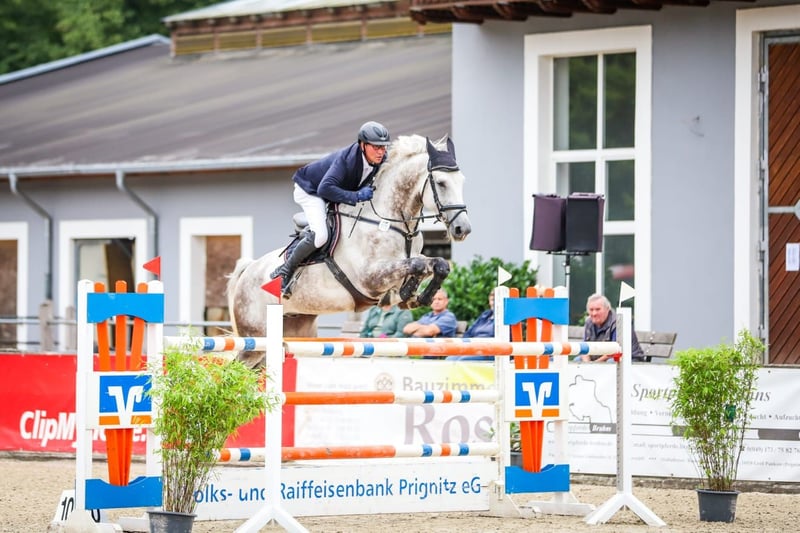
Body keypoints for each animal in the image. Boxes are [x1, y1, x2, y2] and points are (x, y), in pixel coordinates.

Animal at [226, 134, 471, 367]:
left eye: (462, 181)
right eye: (441, 183)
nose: (463, 229)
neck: (392, 223)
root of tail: (249, 270)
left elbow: (437, 264)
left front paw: (415, 296)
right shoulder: (370, 278)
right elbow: (418, 265)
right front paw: (408, 293)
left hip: (296, 327)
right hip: (256, 337)